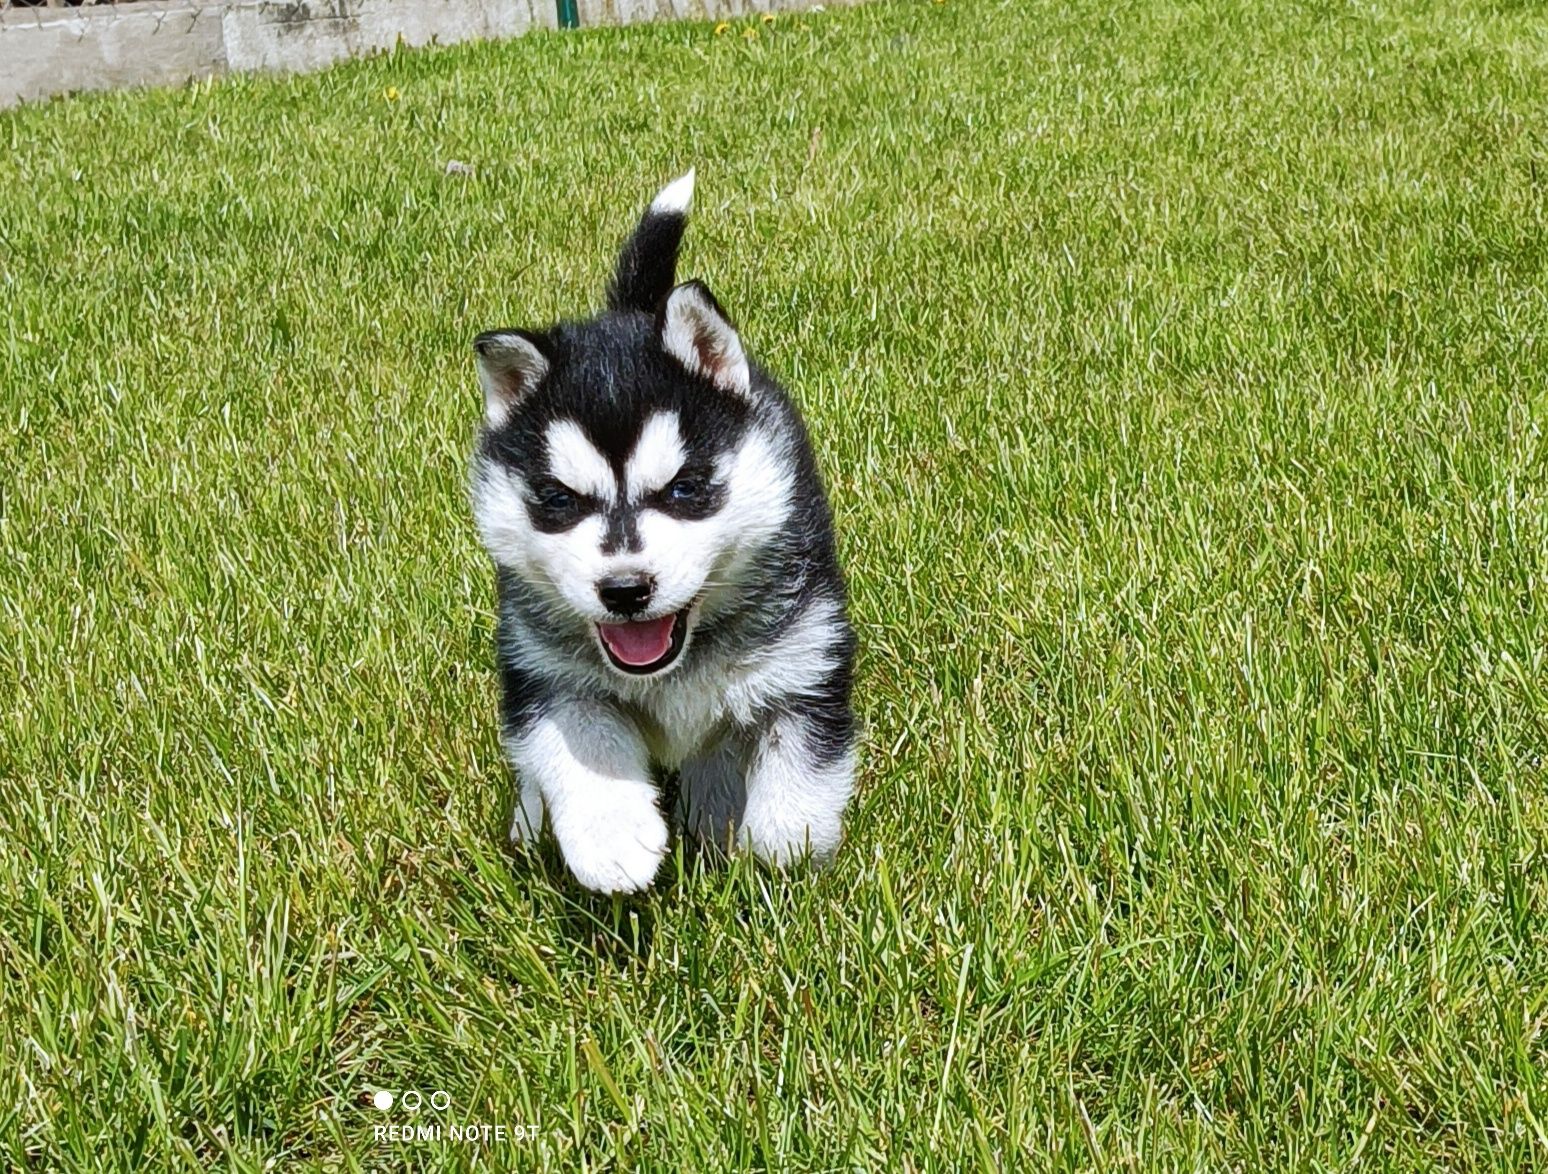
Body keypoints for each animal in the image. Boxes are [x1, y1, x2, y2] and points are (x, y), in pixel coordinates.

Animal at [467, 170, 860, 898]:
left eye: (683, 489)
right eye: (559, 501)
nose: (624, 590)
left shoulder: (805, 653)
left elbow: (799, 758)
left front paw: (782, 845)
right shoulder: (544, 669)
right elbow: (576, 739)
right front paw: (611, 838)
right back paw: (533, 821)